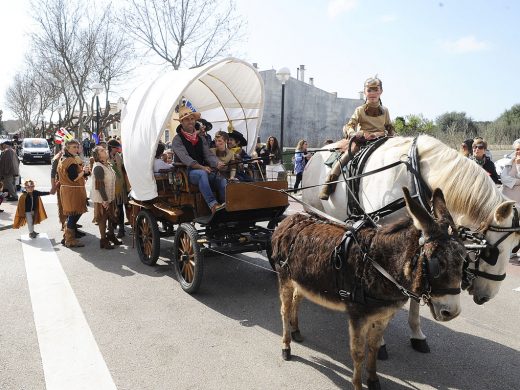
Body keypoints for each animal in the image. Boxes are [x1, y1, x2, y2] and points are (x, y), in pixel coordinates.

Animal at [302, 136, 516, 354]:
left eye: (514, 249)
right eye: (491, 253)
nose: (486, 296)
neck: (413, 177)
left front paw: (416, 334)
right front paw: (379, 340)